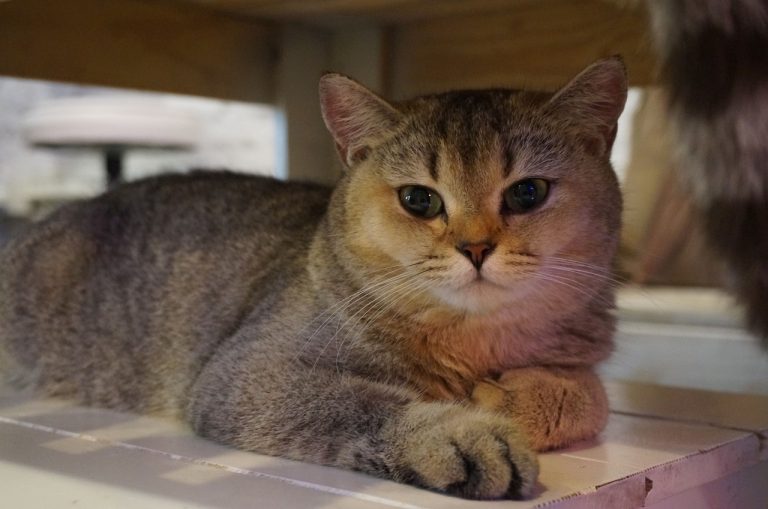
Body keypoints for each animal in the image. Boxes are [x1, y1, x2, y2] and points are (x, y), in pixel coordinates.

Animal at [0, 56, 624, 500]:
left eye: (528, 192)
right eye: (419, 199)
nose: (475, 248)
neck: (475, 342)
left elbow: (592, 397)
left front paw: (510, 397)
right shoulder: (246, 374)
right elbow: (360, 400)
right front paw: (460, 432)